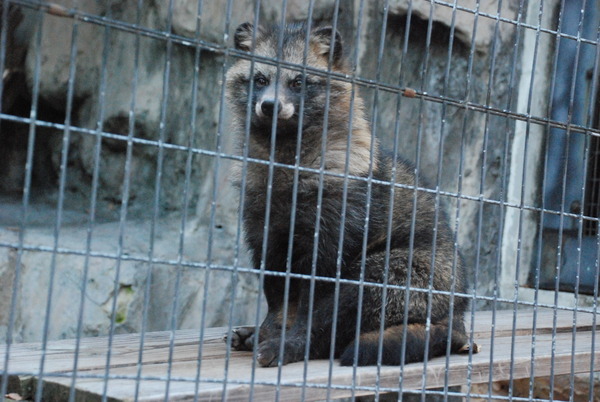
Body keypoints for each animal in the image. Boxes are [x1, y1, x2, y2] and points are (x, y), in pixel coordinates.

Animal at [225, 22, 478, 368]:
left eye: (299, 81)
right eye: (260, 79)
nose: (270, 106)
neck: (287, 151)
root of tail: (456, 320)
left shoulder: (334, 230)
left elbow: (313, 303)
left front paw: (293, 340)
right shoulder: (266, 228)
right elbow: (277, 294)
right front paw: (270, 327)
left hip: (406, 275)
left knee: (349, 302)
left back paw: (304, 344)